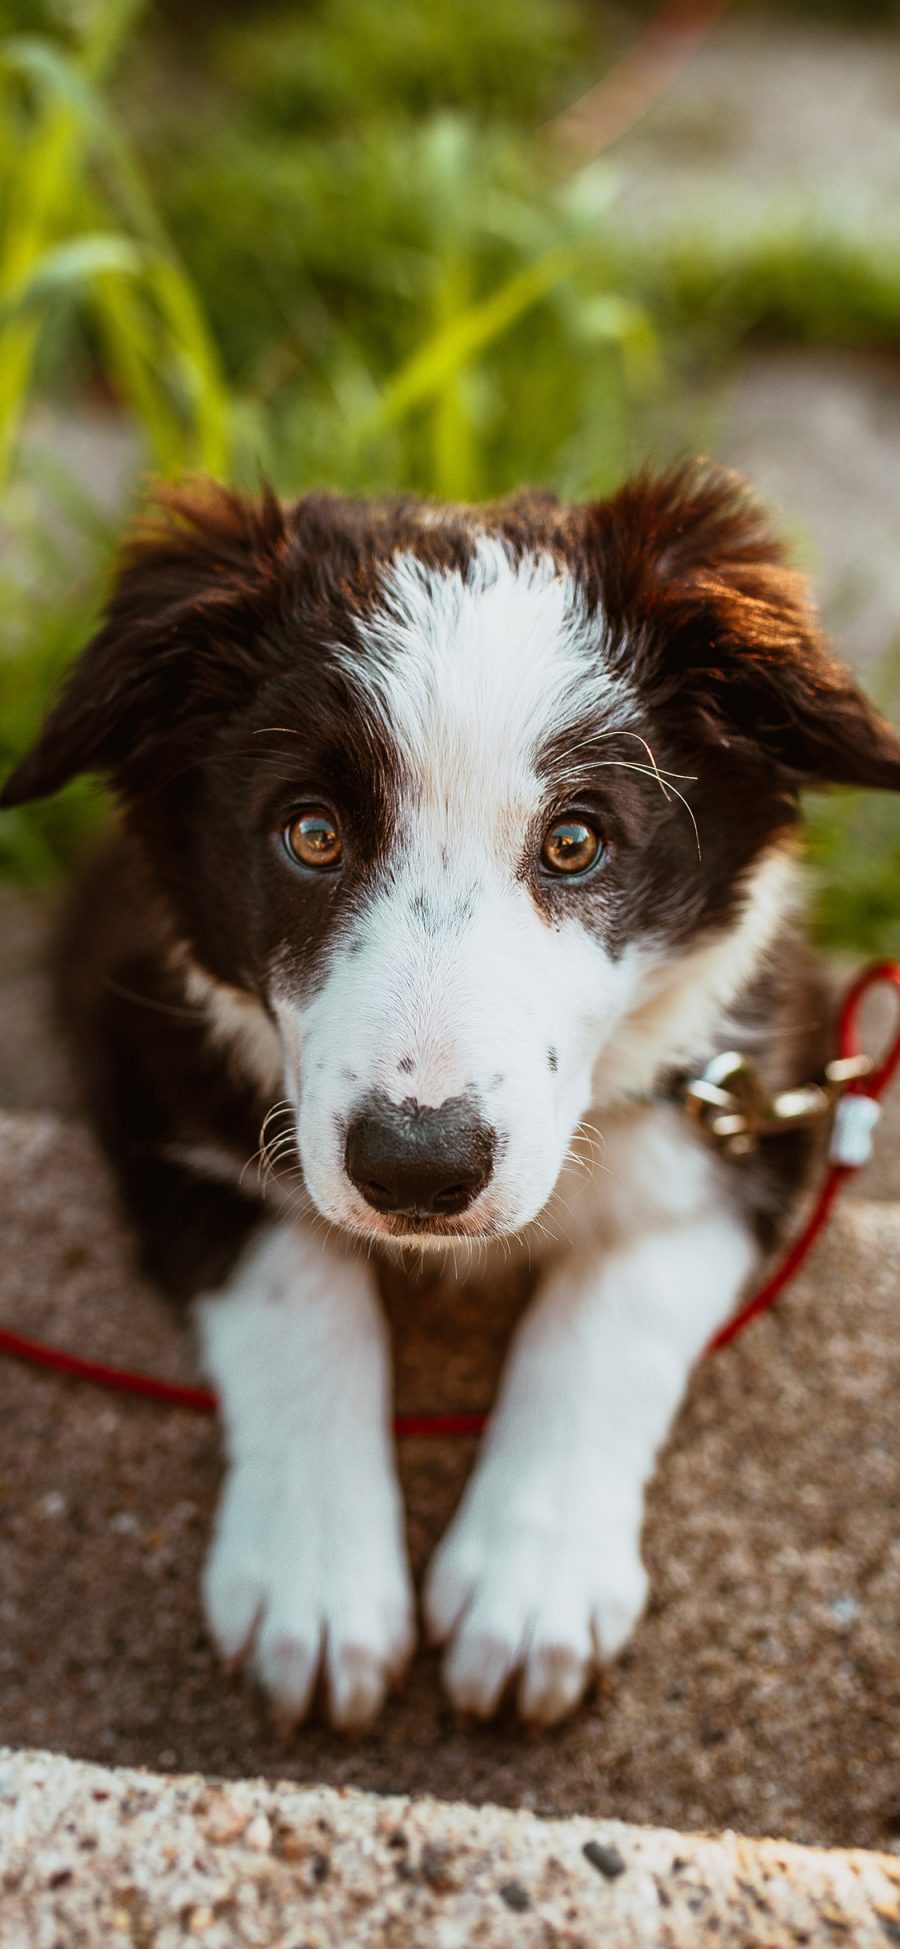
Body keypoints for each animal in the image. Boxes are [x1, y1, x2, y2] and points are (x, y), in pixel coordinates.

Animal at [3, 463, 896, 1730]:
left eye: (575, 841)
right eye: (310, 833)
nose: (417, 1170)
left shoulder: (759, 1079)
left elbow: (614, 1307)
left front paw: (532, 1582)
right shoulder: (140, 1039)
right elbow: (296, 1277)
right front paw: (316, 1580)